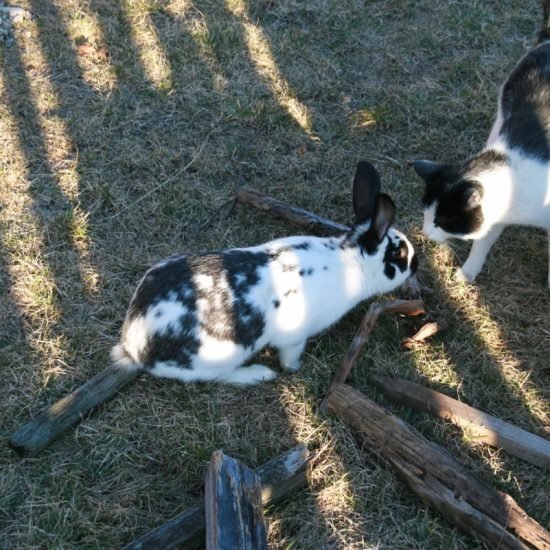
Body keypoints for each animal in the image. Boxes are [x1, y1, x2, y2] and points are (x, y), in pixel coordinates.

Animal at [111, 163, 418, 388]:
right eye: (399, 254)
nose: (416, 264)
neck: (351, 260)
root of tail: (136, 344)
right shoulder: (295, 336)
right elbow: (290, 354)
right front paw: (293, 368)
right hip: (217, 358)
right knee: (219, 377)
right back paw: (260, 374)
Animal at [414, 1, 550, 288]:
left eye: (441, 221)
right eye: (426, 213)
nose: (425, 232)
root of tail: (547, 40)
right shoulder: (495, 216)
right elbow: (482, 242)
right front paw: (467, 272)